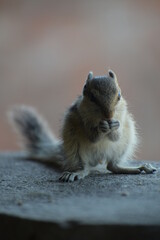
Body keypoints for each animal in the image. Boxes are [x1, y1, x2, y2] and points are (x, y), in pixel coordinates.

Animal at [9, 69, 156, 182]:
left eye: (119, 95)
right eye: (92, 97)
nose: (109, 115)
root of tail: (98, 159)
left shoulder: (122, 117)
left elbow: (115, 137)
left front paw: (114, 126)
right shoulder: (81, 117)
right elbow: (92, 137)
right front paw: (101, 128)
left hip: (124, 143)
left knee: (112, 166)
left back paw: (139, 168)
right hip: (75, 150)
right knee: (85, 168)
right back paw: (75, 173)